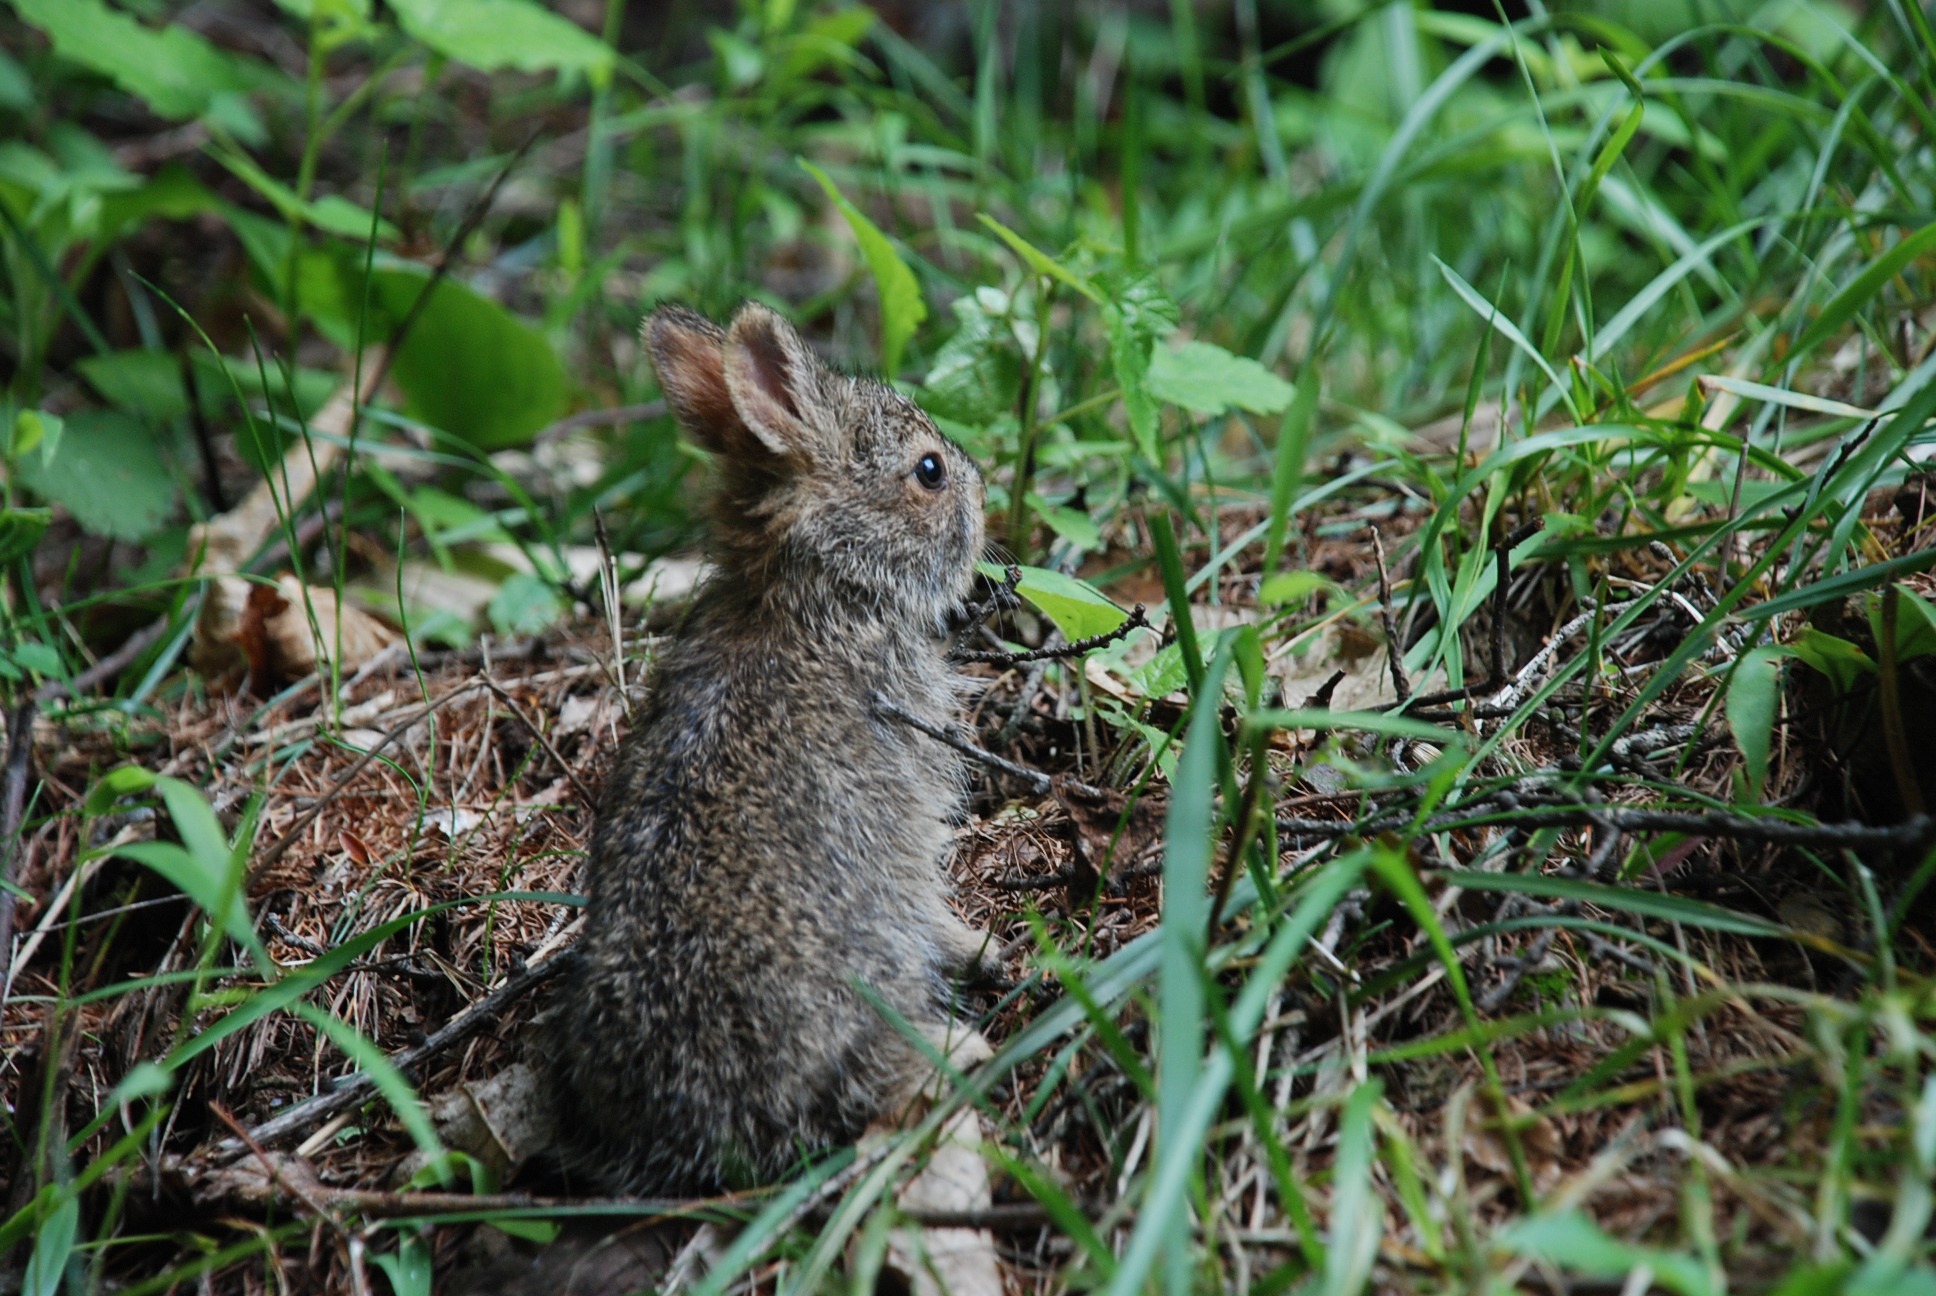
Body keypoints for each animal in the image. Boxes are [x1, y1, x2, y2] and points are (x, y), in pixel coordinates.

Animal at [549, 298, 991, 1185]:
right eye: (929, 471)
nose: (982, 488)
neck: (813, 597)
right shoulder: (913, 813)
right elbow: (931, 893)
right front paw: (979, 944)